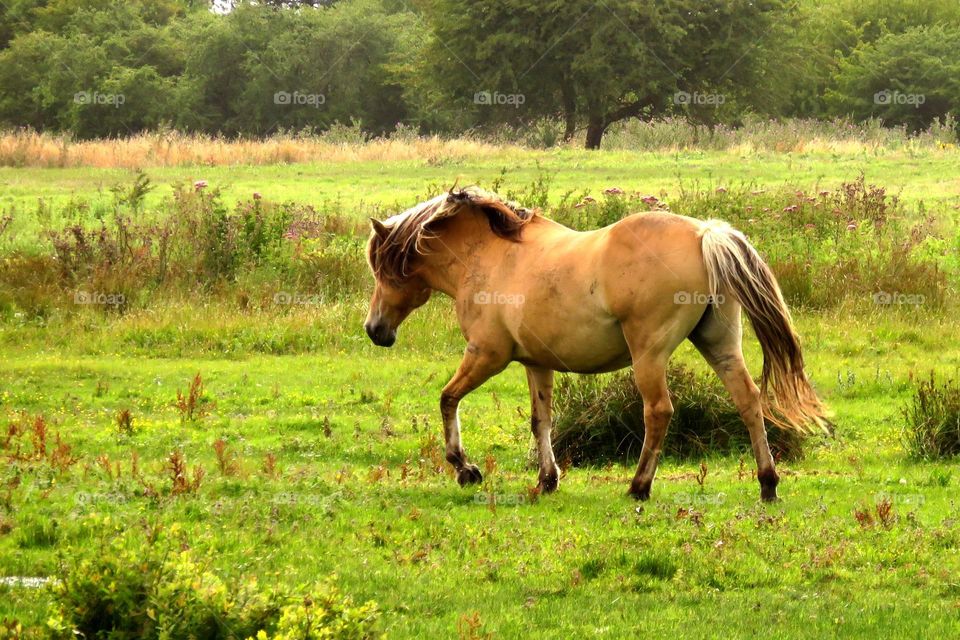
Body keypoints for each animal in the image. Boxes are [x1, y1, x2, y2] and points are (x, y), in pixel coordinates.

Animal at [362, 188, 824, 502]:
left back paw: (639, 486)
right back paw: (767, 483)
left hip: (649, 354)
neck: (490, 256)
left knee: (658, 411)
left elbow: (447, 400)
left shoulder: (487, 355)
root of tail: (704, 234)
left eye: (383, 270)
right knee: (748, 400)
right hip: (720, 344)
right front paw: (547, 479)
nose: (374, 329)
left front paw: (465, 468)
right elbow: (541, 421)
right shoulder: (536, 363)